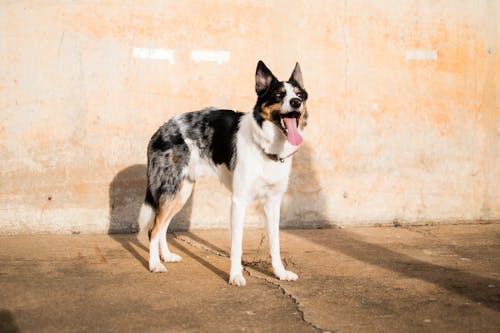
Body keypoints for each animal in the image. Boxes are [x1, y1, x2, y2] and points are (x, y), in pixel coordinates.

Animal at [138, 60, 308, 286]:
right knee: (153, 229)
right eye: (279, 95)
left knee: (163, 227)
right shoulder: (239, 201)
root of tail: (160, 130)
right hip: (170, 189)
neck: (267, 146)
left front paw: (280, 273)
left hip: (180, 193)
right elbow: (236, 245)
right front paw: (236, 276)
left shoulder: (273, 203)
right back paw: (155, 264)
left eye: (299, 94)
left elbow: (275, 244)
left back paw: (166, 256)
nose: (296, 102)